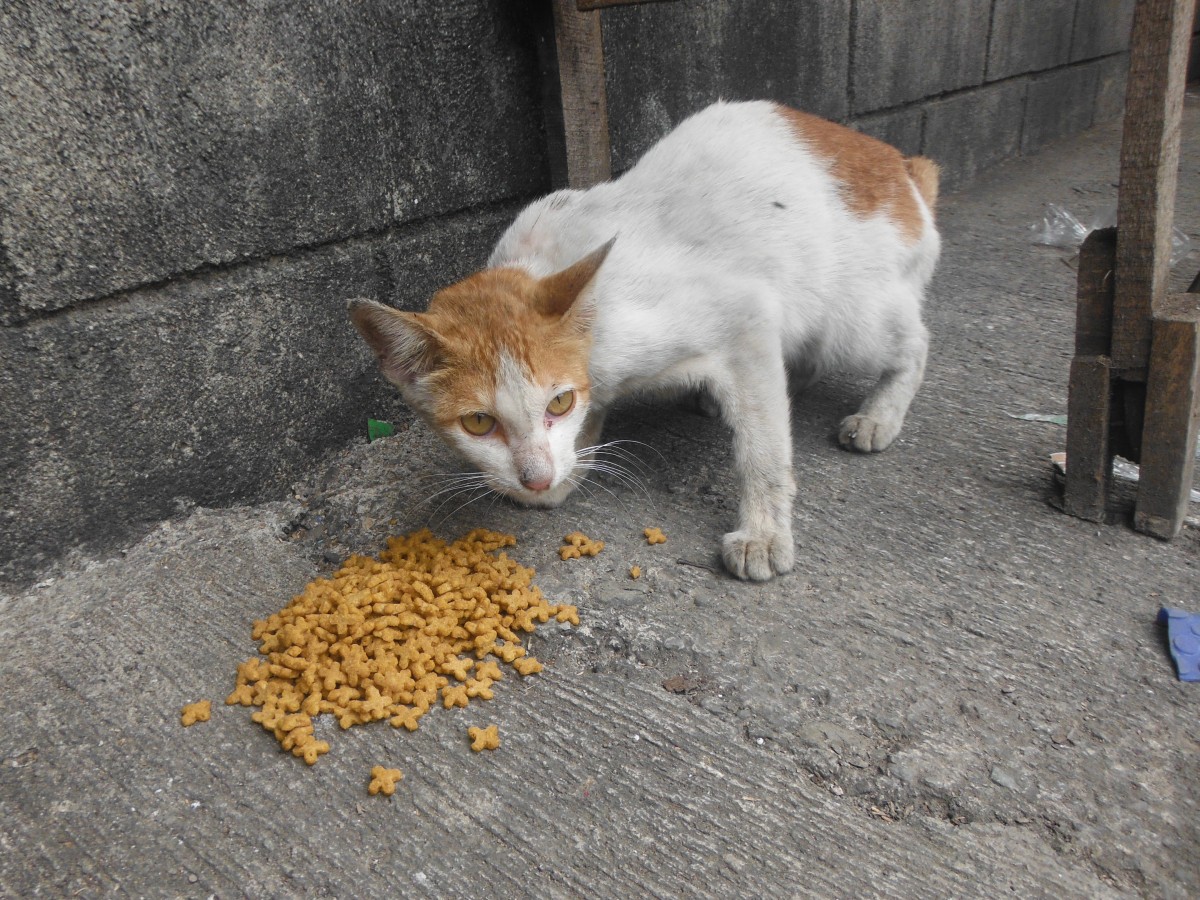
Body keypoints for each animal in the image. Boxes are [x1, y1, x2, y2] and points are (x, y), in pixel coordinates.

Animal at [348, 97, 936, 578]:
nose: (536, 478)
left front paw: (765, 532)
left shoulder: (745, 314)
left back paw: (879, 414)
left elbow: (763, 447)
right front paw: (566, 471)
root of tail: (900, 165)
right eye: (478, 423)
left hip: (851, 318)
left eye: (557, 402)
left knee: (912, 340)